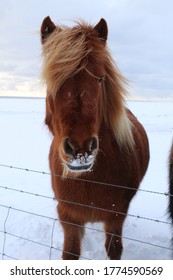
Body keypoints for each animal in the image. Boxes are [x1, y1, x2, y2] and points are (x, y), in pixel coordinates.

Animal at [41, 16, 150, 260]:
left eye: (100, 78)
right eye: (52, 80)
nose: (80, 149)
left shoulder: (116, 217)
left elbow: (114, 249)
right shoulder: (68, 217)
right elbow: (70, 254)